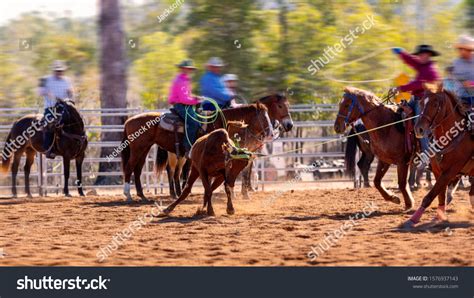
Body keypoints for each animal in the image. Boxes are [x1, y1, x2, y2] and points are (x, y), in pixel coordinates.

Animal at [122, 102, 276, 203]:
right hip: (139, 149)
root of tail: (129, 120)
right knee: (130, 168)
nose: (271, 134)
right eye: (264, 117)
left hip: (144, 149)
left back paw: (142, 195)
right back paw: (128, 194)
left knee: (139, 170)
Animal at [404, 82, 474, 227]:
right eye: (421, 103)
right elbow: (440, 194)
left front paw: (414, 218)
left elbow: (430, 195)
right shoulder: (438, 171)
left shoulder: (450, 171)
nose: (418, 129)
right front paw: (439, 216)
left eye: (435, 104)